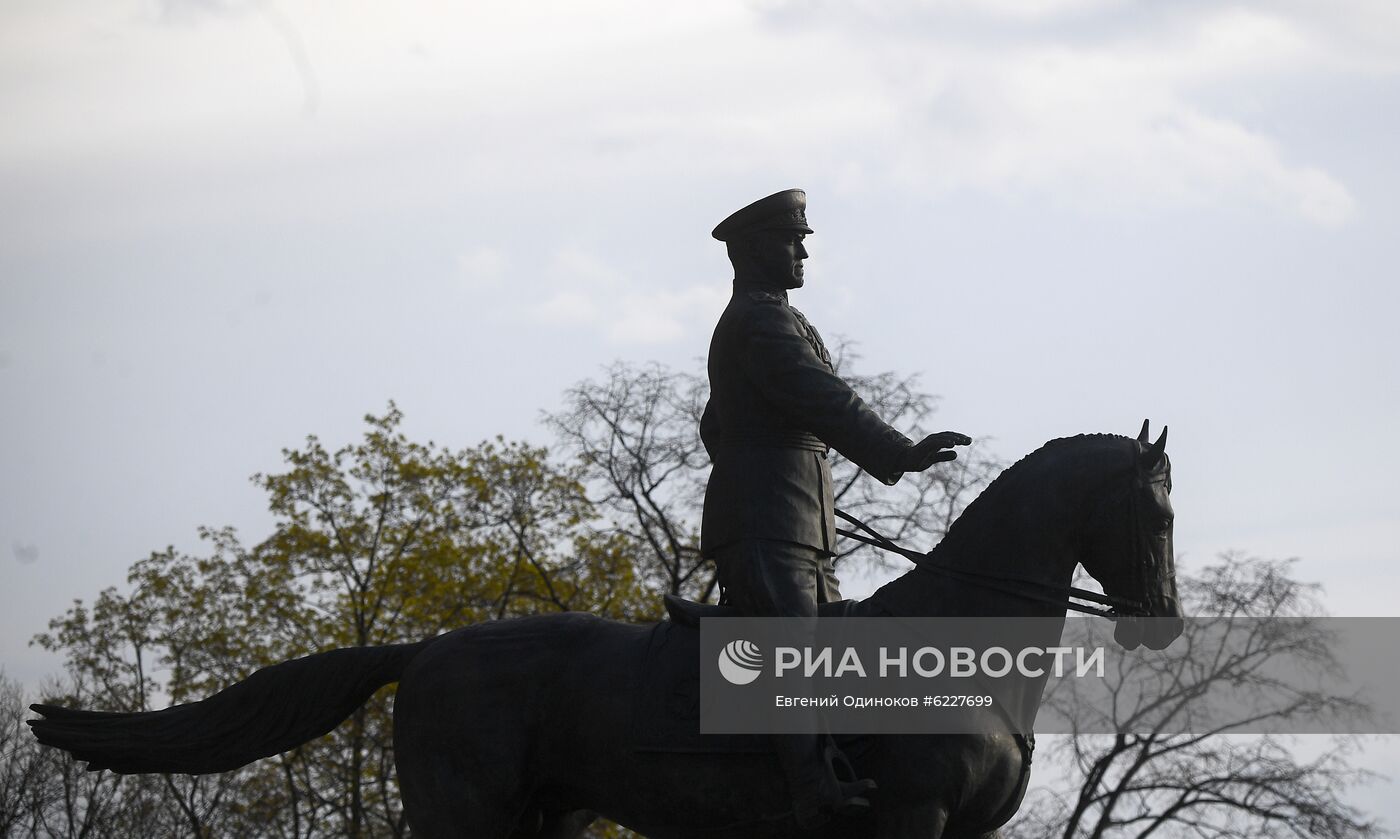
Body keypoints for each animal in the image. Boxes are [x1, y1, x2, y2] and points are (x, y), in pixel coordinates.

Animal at [27, 425, 1181, 839]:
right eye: (1157, 511)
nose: (1161, 627)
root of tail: (424, 648)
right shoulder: (906, 821)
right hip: (465, 818)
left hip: (553, 817)